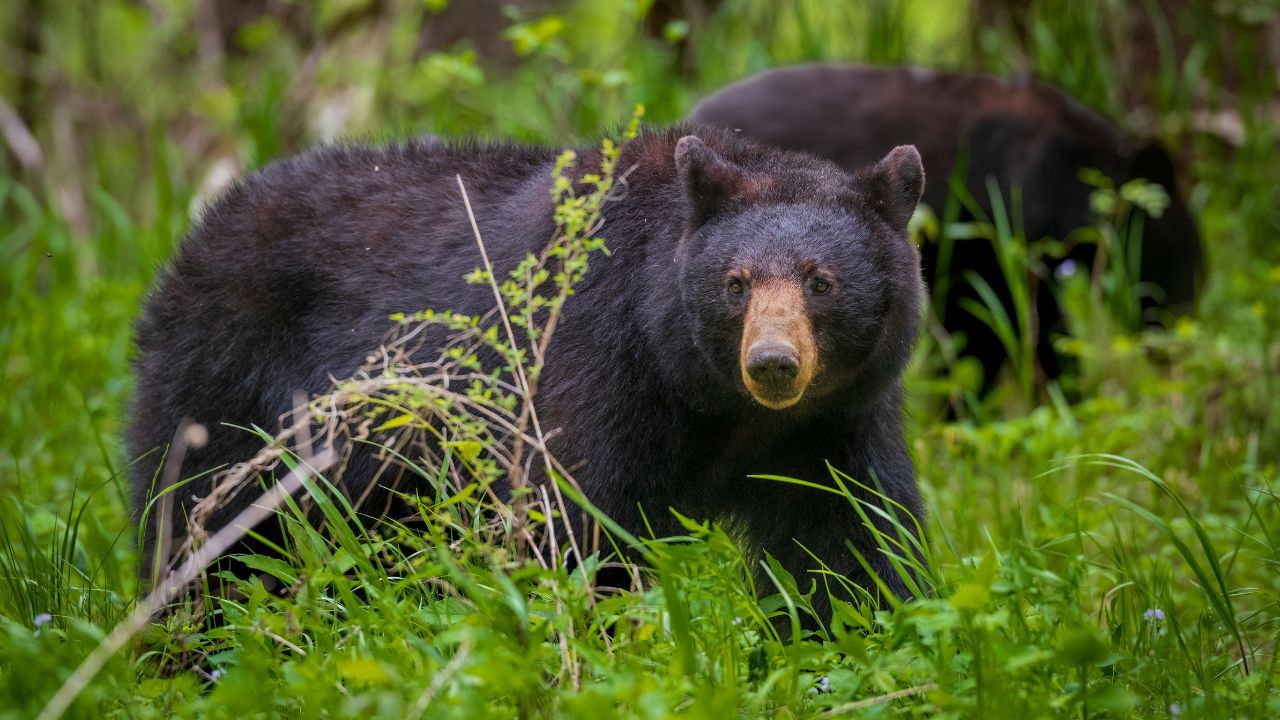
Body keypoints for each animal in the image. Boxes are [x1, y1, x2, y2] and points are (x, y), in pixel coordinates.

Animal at [127, 124, 928, 620]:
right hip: (233, 380)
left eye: (820, 281)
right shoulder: (593, 362)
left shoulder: (832, 424)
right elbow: (574, 523)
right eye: (736, 284)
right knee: (209, 530)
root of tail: (198, 230)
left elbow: (851, 540)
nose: (773, 364)